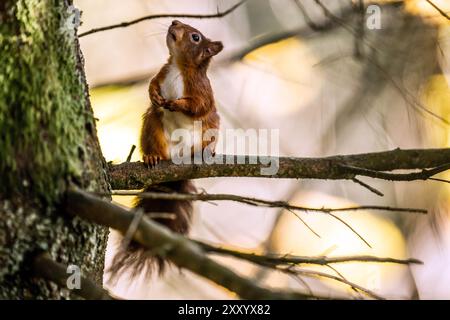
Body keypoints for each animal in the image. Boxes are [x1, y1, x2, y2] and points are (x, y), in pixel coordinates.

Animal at [109, 20, 221, 280]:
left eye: (195, 37)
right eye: (178, 22)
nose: (173, 23)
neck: (179, 66)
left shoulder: (202, 91)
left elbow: (199, 106)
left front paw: (177, 104)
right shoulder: (161, 74)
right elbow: (152, 84)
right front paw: (154, 95)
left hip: (209, 132)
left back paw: (202, 154)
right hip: (153, 126)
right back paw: (153, 156)